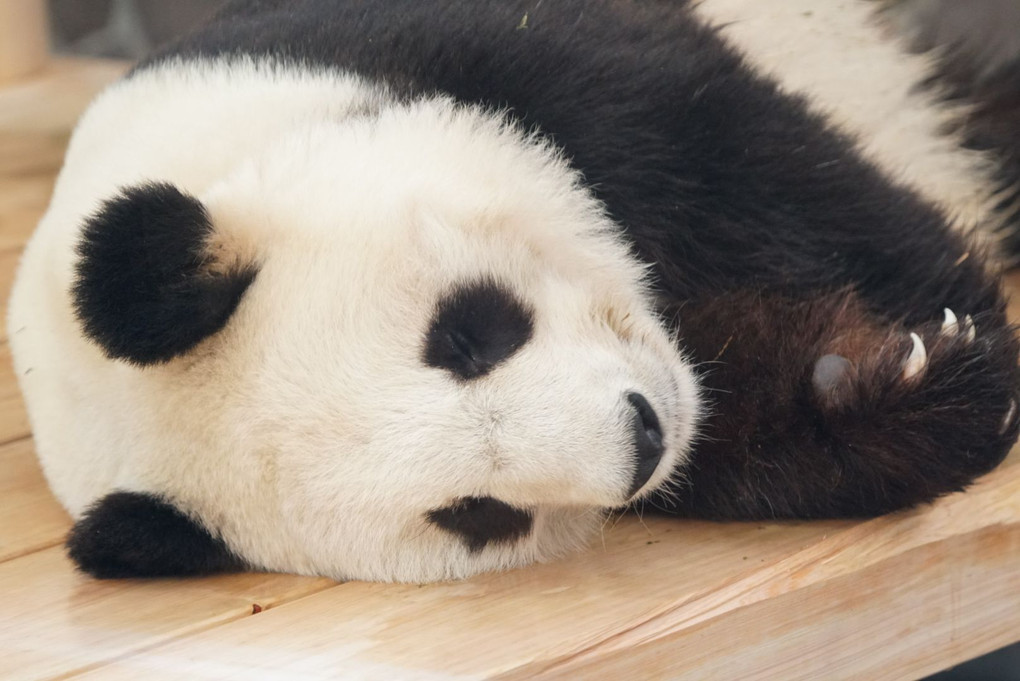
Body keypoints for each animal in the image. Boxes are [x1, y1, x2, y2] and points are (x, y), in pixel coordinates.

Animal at [7, 1, 1020, 587]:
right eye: (478, 514)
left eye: (465, 333)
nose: (642, 433)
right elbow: (737, 437)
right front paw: (876, 383)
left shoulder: (468, 53)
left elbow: (741, 164)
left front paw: (954, 328)